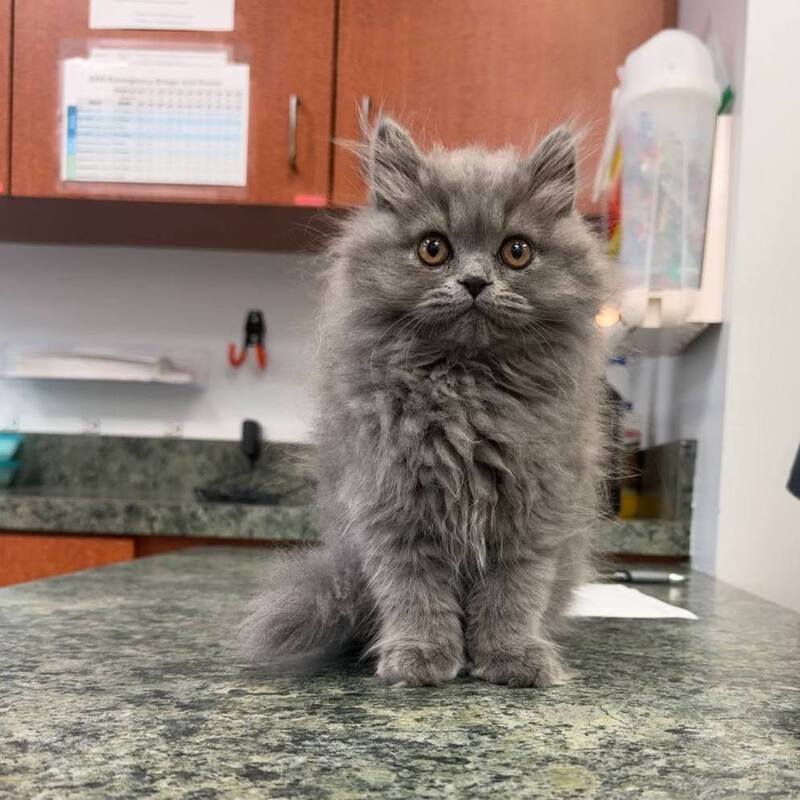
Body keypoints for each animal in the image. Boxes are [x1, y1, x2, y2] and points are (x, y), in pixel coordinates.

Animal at [239, 117, 612, 688]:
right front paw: (420, 656)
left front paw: (511, 657)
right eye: (433, 249)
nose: (475, 282)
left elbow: (513, 595)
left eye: (516, 251)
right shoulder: (393, 505)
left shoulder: (534, 512)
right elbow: (415, 592)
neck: (466, 388)